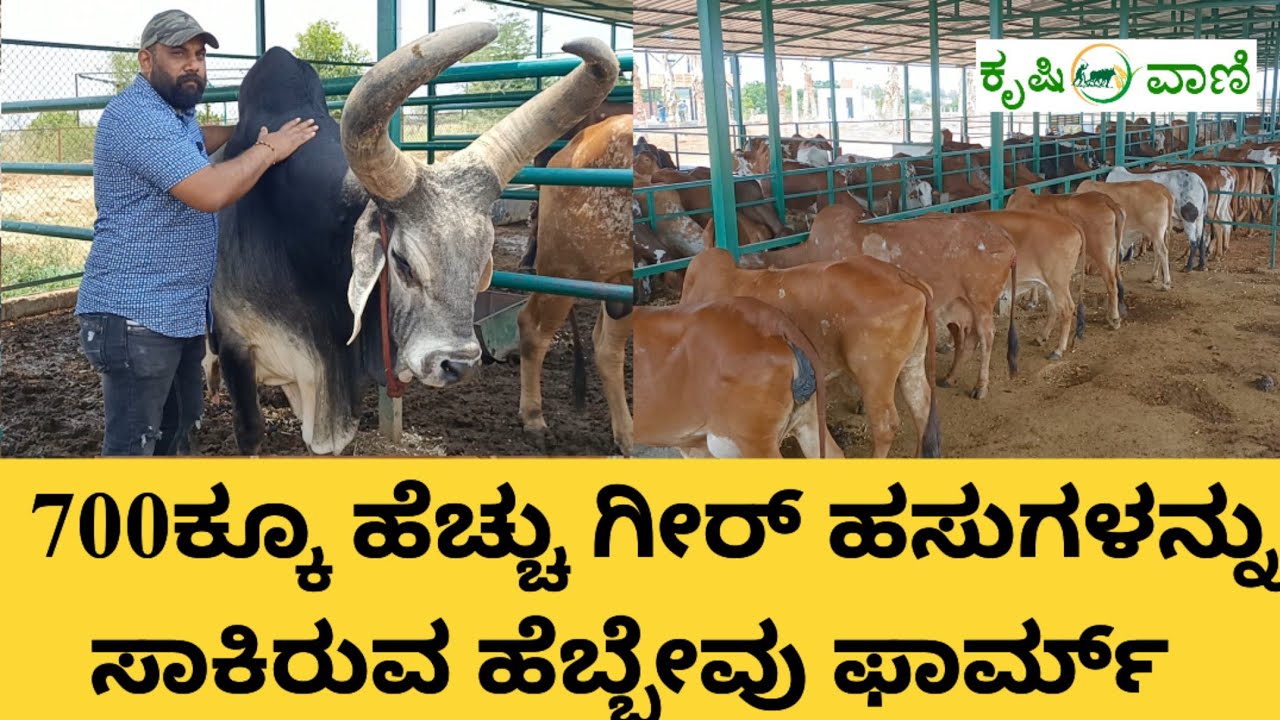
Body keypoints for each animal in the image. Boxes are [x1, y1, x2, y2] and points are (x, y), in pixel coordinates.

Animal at [746, 207, 1019, 400]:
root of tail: (1002, 235)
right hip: (963, 304)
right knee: (968, 337)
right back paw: (950, 377)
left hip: (981, 300)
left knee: (986, 336)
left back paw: (980, 387)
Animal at [1005, 186, 1126, 330]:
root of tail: (1107, 200)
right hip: (1112, 253)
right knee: (1117, 279)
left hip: (1101, 253)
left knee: (1111, 283)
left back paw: (1114, 319)